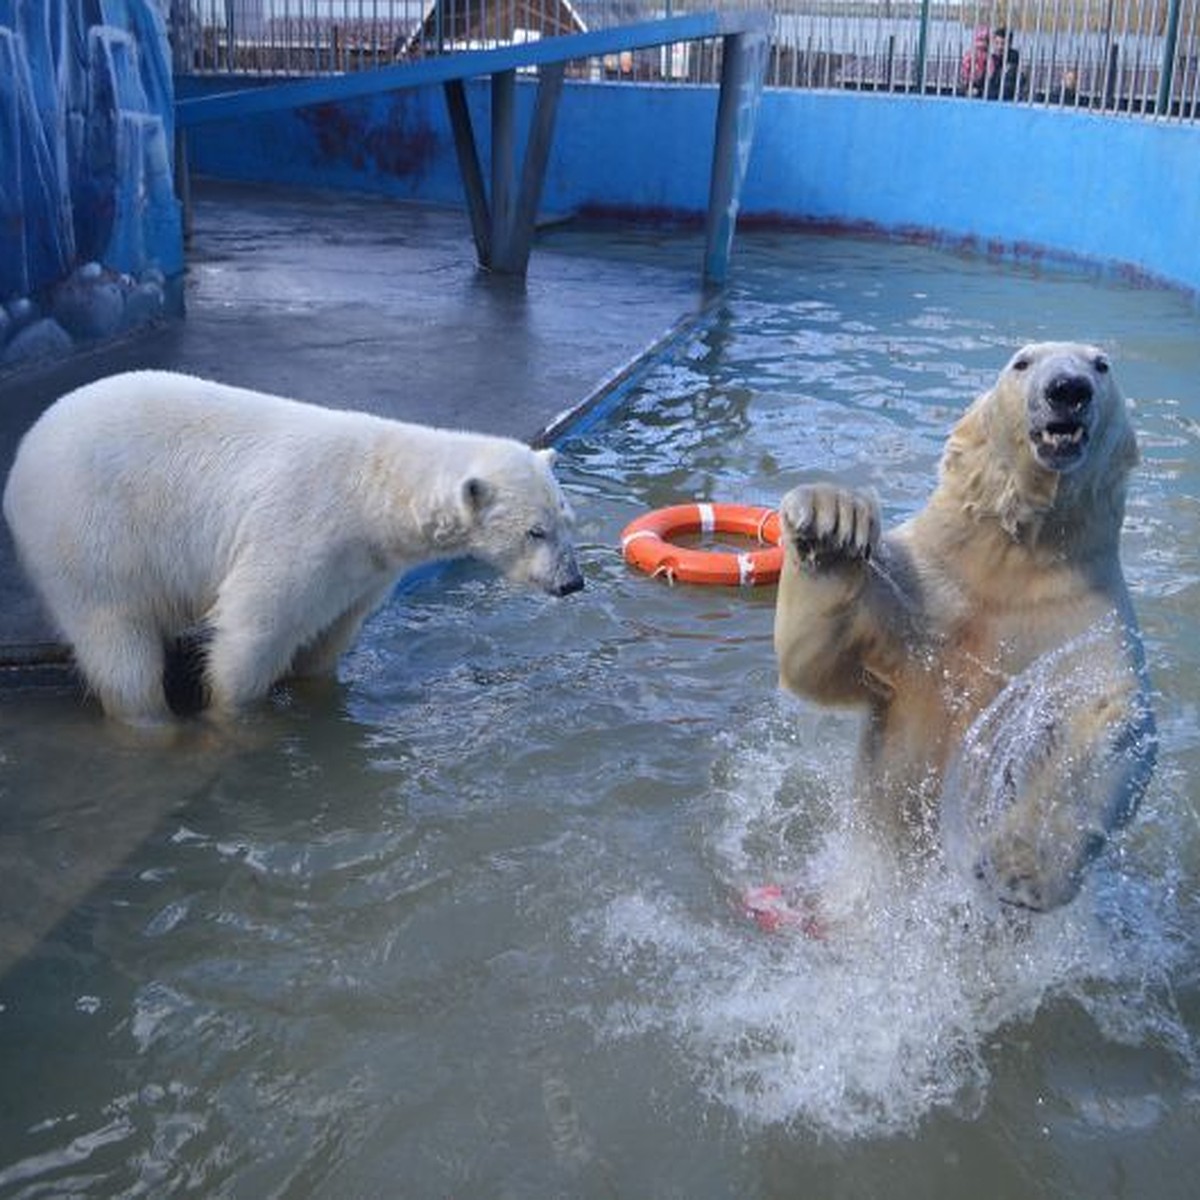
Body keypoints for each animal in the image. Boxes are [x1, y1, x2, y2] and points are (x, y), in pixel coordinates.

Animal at [3, 369, 585, 720]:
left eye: (568, 521)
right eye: (535, 531)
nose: (572, 583)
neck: (372, 493)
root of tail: (30, 444)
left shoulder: (364, 568)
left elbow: (329, 635)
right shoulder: (301, 529)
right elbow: (255, 627)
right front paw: (232, 717)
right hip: (90, 533)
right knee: (116, 638)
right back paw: (151, 719)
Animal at [772, 345, 1156, 907]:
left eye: (1101, 364)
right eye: (1023, 362)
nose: (1068, 388)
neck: (1013, 560)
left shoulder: (1087, 616)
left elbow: (1109, 723)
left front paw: (1024, 864)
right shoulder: (925, 591)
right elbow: (822, 662)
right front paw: (831, 524)